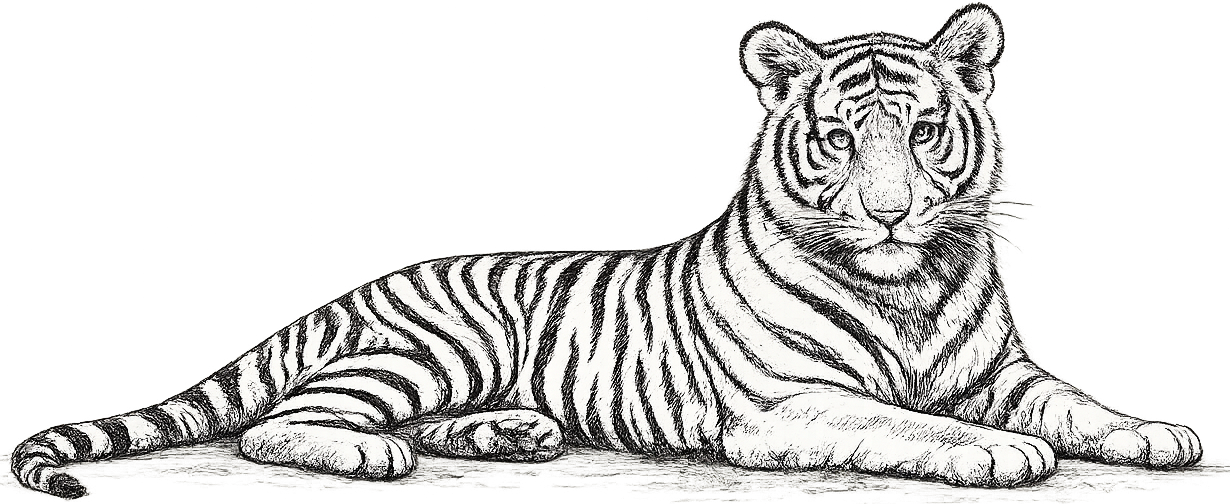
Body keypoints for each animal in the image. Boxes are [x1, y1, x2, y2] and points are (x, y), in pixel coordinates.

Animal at [10, 3, 1202, 500]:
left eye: (921, 134)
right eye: (838, 138)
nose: (894, 213)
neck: (909, 286)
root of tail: (352, 288)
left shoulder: (1003, 372)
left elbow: (1081, 404)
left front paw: (1159, 433)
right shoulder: (790, 406)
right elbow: (903, 421)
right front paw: (994, 455)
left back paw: (512, 434)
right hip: (423, 351)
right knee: (280, 423)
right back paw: (367, 455)